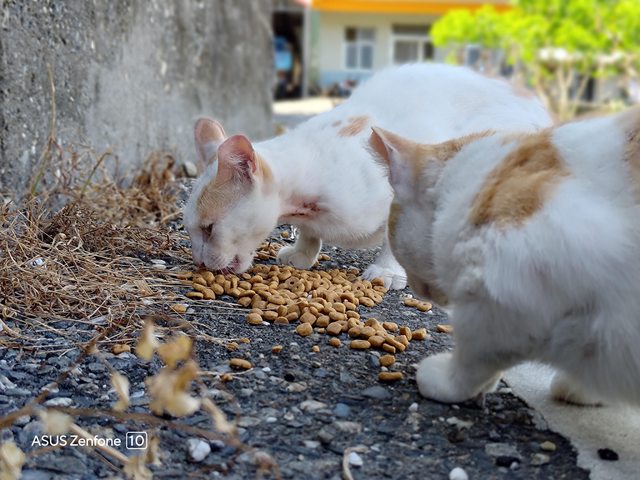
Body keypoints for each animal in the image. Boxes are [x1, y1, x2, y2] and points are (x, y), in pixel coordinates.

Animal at [183, 63, 552, 289]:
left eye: (209, 228)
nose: (199, 261)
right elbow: (309, 234)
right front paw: (303, 254)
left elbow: (392, 236)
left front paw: (387, 272)